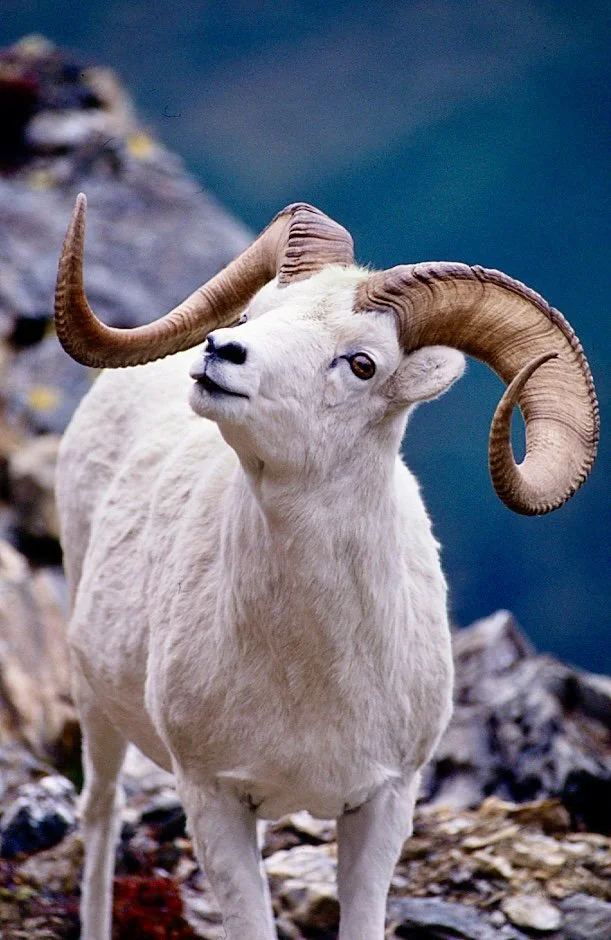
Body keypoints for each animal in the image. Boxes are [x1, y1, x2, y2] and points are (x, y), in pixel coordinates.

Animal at [54, 194, 598, 940]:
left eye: (362, 364)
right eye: (254, 316)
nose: (221, 352)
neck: (309, 670)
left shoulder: (381, 806)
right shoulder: (214, 801)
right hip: (95, 704)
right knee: (102, 817)